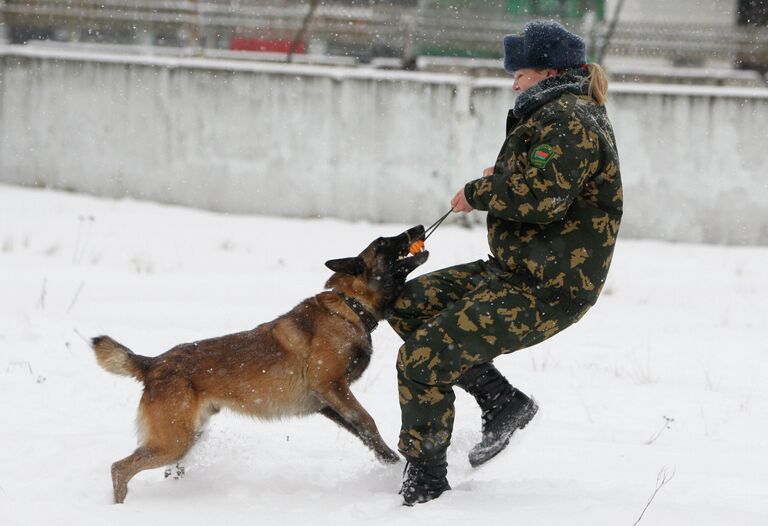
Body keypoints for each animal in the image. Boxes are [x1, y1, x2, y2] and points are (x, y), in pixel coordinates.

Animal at [91, 225, 428, 506]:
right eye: (383, 242)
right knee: (119, 468)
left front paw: (391, 462)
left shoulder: (327, 402)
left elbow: (363, 431)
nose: (419, 227)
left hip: (186, 437)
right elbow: (367, 421)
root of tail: (153, 364)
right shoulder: (330, 385)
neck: (351, 307)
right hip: (173, 442)